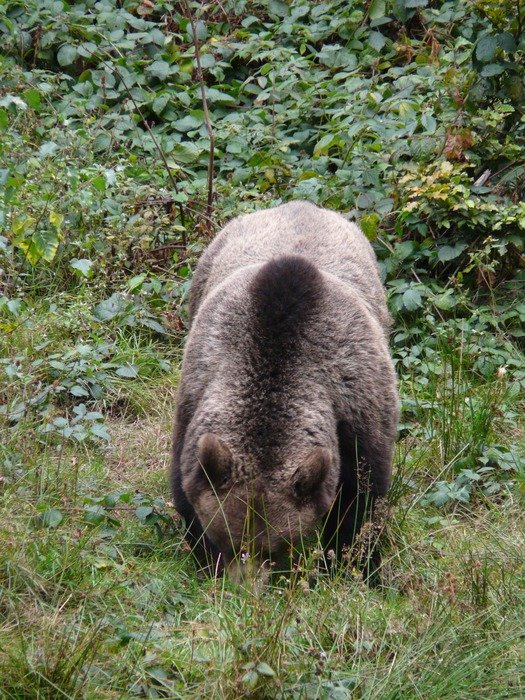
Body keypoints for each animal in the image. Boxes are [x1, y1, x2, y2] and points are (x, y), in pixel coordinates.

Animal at [171, 200, 399, 581]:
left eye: (275, 548)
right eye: (227, 540)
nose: (244, 589)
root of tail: (302, 204)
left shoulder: (357, 404)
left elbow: (362, 500)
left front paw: (351, 562)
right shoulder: (198, 387)